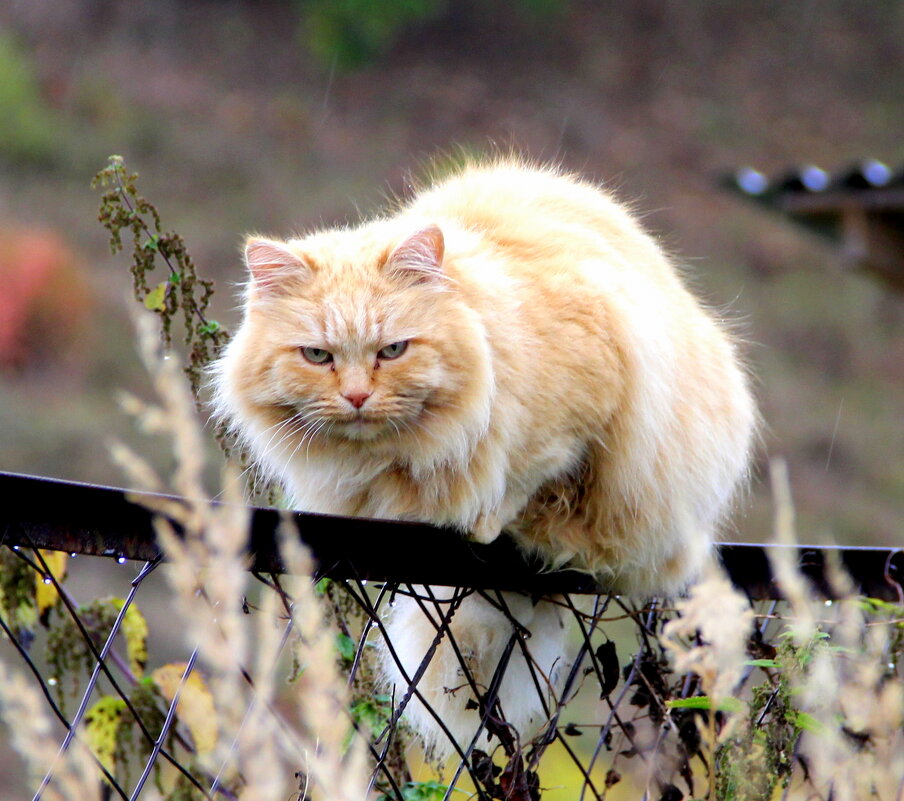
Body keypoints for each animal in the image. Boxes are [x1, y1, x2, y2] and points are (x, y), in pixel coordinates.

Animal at [212, 158, 756, 756]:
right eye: (317, 356)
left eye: (392, 351)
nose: (356, 397)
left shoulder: (580, 417)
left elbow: (526, 483)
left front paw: (493, 520)